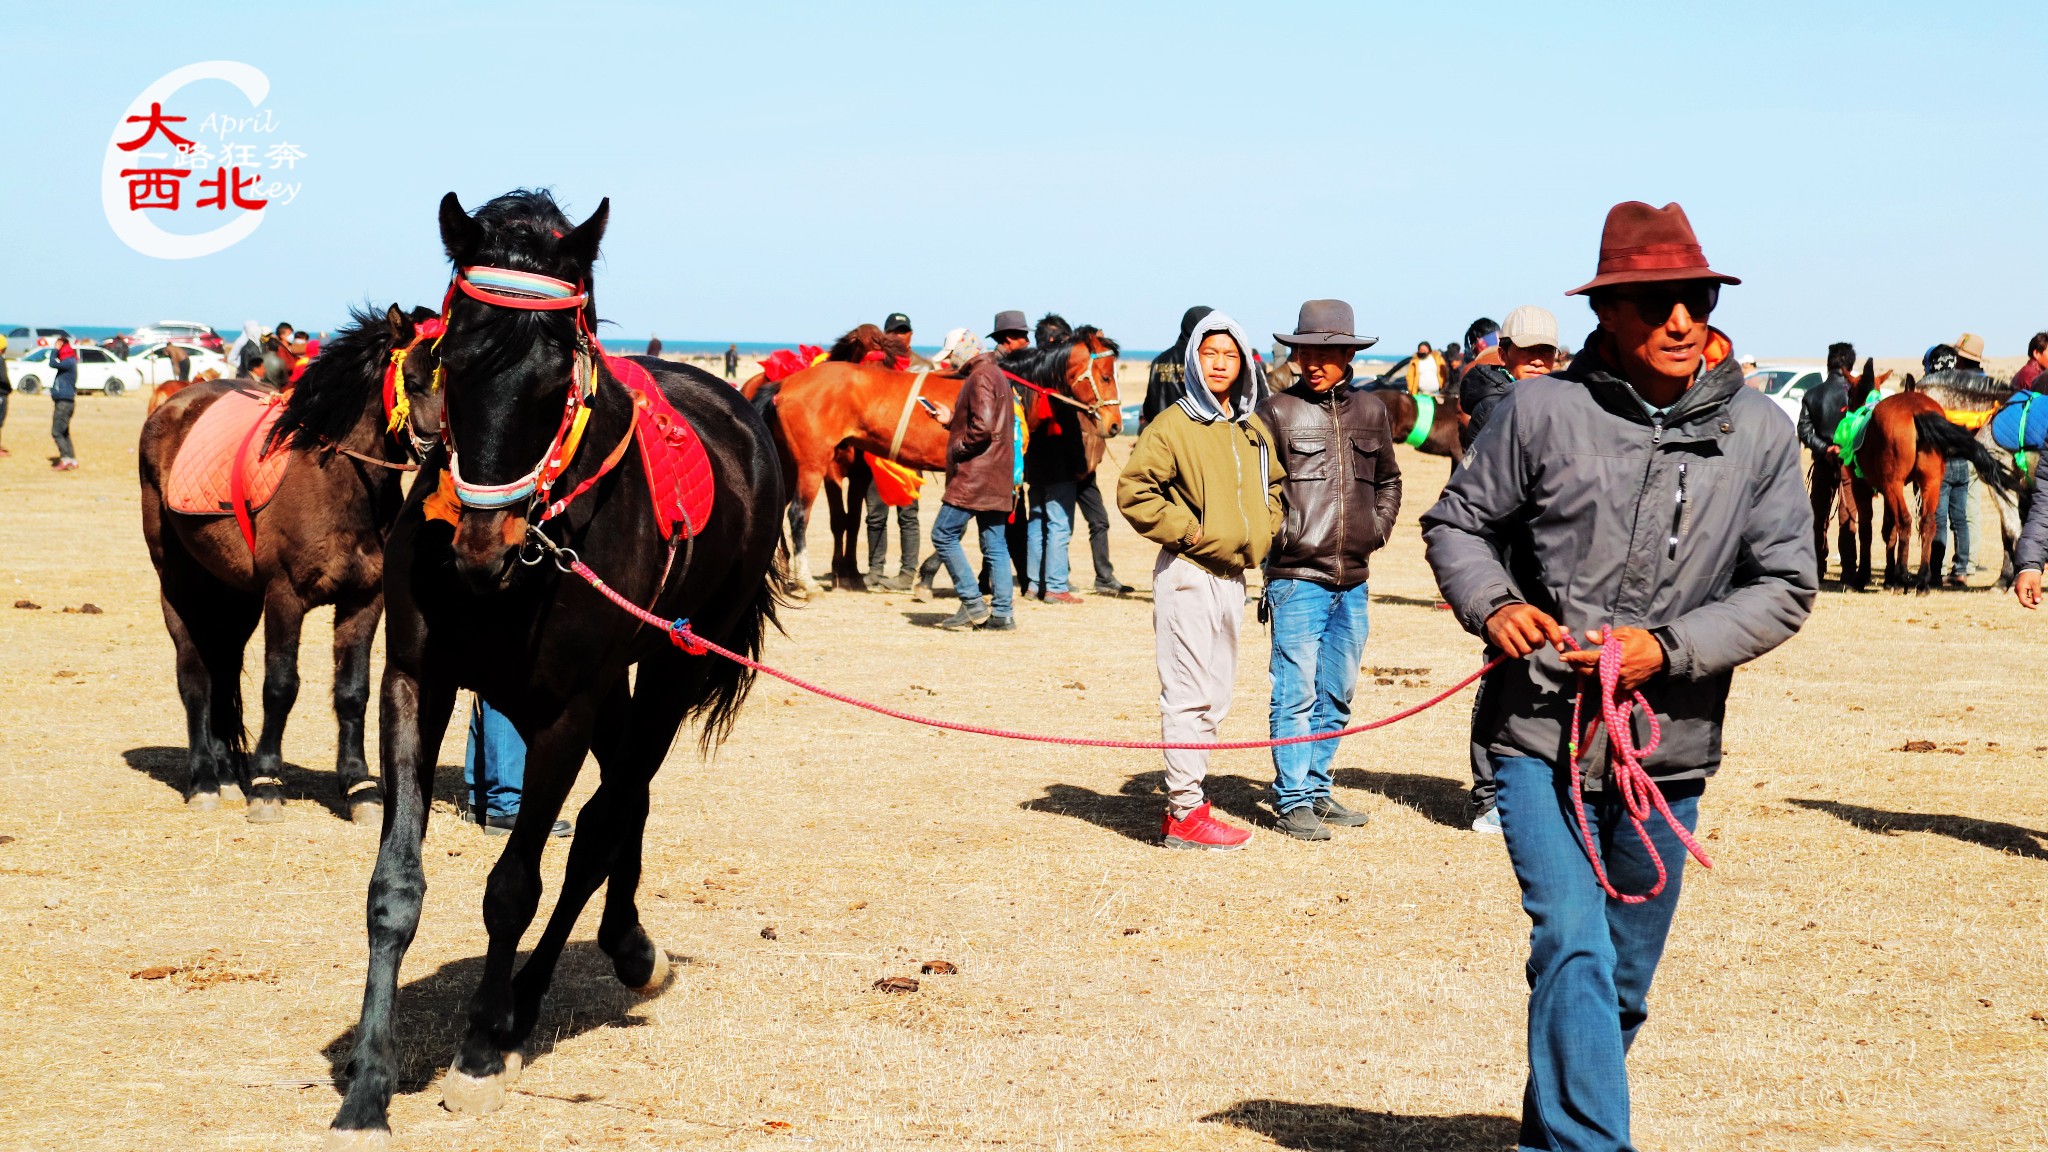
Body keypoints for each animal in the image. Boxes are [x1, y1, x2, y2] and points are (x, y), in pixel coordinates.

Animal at [137, 305, 444, 819]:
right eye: (415, 381)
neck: (336, 480)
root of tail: (173, 403)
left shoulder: (364, 601)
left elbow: (353, 691)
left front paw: (359, 786)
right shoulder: (285, 596)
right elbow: (280, 687)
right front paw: (267, 783)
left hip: (235, 595)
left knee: (222, 669)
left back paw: (226, 775)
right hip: (179, 583)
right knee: (195, 674)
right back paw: (204, 780)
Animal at [331, 188, 786, 1139]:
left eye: (552, 381)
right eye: (448, 364)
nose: (483, 545)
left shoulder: (562, 713)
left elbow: (515, 884)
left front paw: (476, 1050)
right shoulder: (416, 682)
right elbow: (394, 886)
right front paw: (367, 1085)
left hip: (675, 662)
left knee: (609, 819)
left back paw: (539, 997)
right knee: (627, 801)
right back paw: (620, 946)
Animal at [770, 323, 1122, 590]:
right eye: (1106, 376)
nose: (1115, 424)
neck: (1010, 389)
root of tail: (785, 384)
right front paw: (930, 577)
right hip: (813, 464)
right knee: (798, 514)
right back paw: (805, 581)